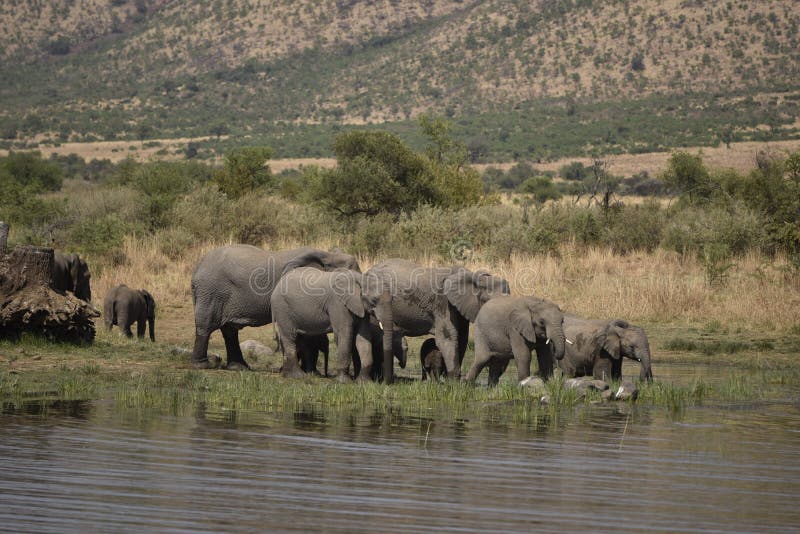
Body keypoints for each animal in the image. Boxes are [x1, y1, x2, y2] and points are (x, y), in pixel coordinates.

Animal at [189, 245, 358, 370]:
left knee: (230, 331)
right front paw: (308, 372)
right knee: (207, 324)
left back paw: (240, 367)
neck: (327, 255)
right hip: (211, 292)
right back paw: (202, 365)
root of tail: (197, 269)